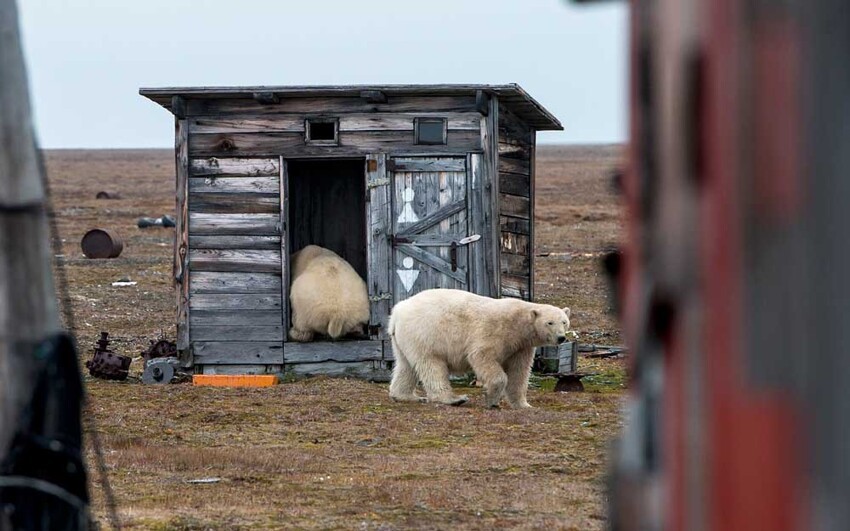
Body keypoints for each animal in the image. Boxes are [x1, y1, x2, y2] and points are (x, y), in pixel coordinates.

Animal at [390, 288, 568, 410]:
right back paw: (454, 399)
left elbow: (519, 372)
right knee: (431, 365)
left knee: (406, 366)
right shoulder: (495, 331)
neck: (518, 323)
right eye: (550, 322)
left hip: (405, 340)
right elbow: (482, 356)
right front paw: (491, 399)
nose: (561, 337)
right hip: (425, 334)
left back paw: (406, 396)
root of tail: (397, 312)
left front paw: (524, 405)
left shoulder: (521, 346)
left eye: (564, 321)